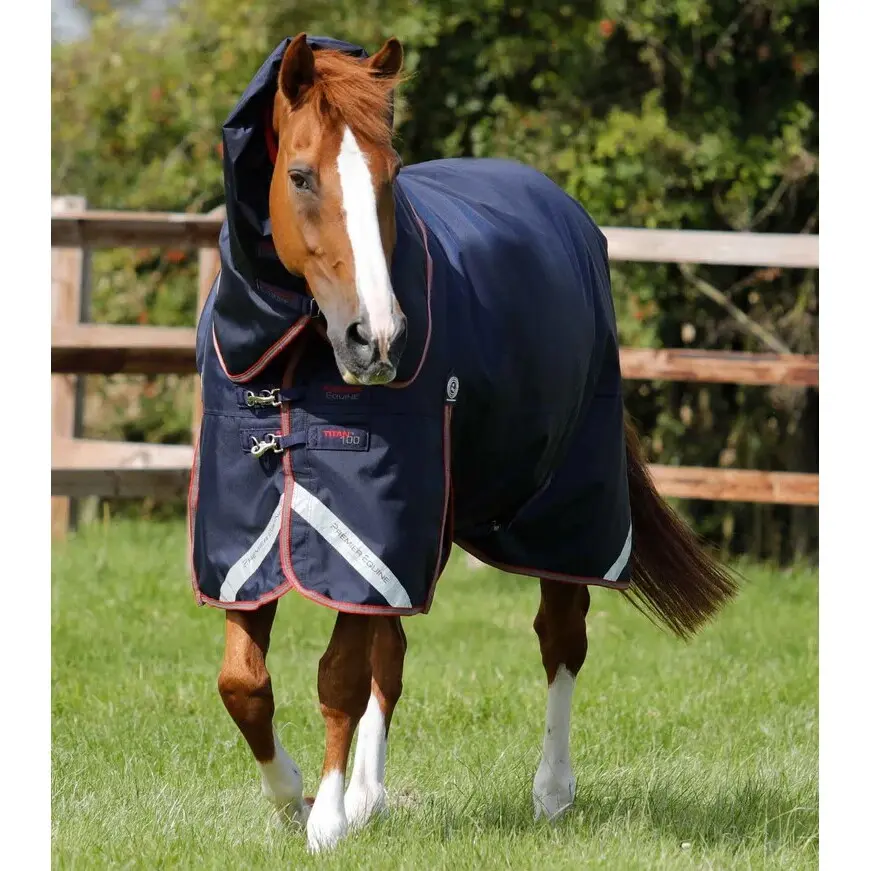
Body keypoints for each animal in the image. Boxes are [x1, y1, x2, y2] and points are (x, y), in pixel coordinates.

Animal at [188, 33, 737, 852]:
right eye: (299, 175)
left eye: (388, 177)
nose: (377, 336)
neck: (287, 359)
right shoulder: (249, 533)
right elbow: (244, 683)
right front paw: (292, 800)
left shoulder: (371, 525)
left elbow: (337, 675)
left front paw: (321, 820)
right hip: (428, 527)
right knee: (393, 654)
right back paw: (370, 797)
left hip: (559, 507)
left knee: (560, 638)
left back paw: (551, 793)